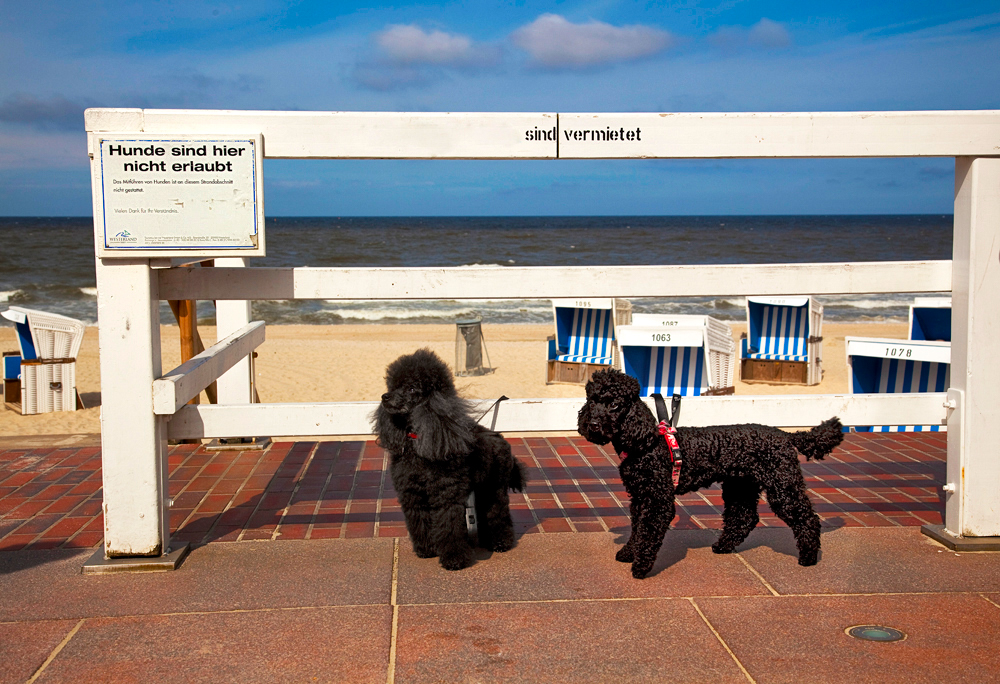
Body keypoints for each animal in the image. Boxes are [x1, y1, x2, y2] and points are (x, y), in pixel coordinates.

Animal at [374, 350, 528, 568]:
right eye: (393, 386)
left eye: (412, 388)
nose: (385, 397)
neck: (420, 442)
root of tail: (499, 438)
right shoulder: (412, 494)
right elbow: (419, 521)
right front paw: (427, 550)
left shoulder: (446, 494)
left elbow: (449, 525)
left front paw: (455, 559)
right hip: (483, 486)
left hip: (495, 485)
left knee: (497, 511)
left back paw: (500, 542)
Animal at [580, 368, 844, 576]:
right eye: (592, 402)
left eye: (615, 404)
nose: (592, 424)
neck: (644, 444)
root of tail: (786, 435)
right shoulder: (640, 497)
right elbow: (637, 529)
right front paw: (628, 553)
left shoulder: (658, 500)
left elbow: (648, 532)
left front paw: (640, 567)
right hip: (740, 486)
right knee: (744, 517)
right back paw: (723, 546)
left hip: (782, 486)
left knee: (806, 518)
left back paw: (809, 557)